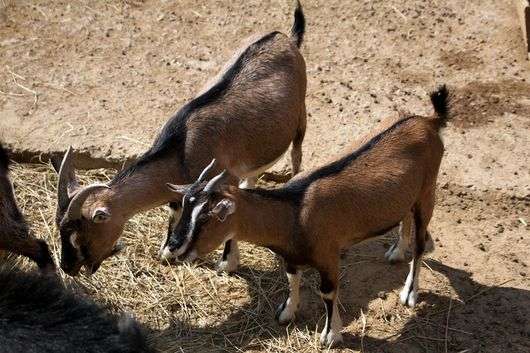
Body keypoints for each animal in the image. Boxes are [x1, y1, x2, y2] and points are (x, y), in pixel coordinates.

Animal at [51, 1, 308, 276]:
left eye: (79, 235)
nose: (67, 267)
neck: (182, 147)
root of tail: (284, 37)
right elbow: (175, 212)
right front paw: (167, 251)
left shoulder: (222, 178)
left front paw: (227, 263)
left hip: (301, 118)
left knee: (297, 155)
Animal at [162, 85, 450, 344]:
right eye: (185, 205)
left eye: (206, 217)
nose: (174, 246)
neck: (294, 212)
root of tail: (429, 121)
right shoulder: (291, 256)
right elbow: (292, 279)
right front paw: (286, 312)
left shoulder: (329, 256)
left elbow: (328, 293)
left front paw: (330, 335)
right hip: (409, 194)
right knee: (405, 218)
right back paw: (396, 252)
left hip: (428, 191)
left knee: (420, 244)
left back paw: (409, 292)